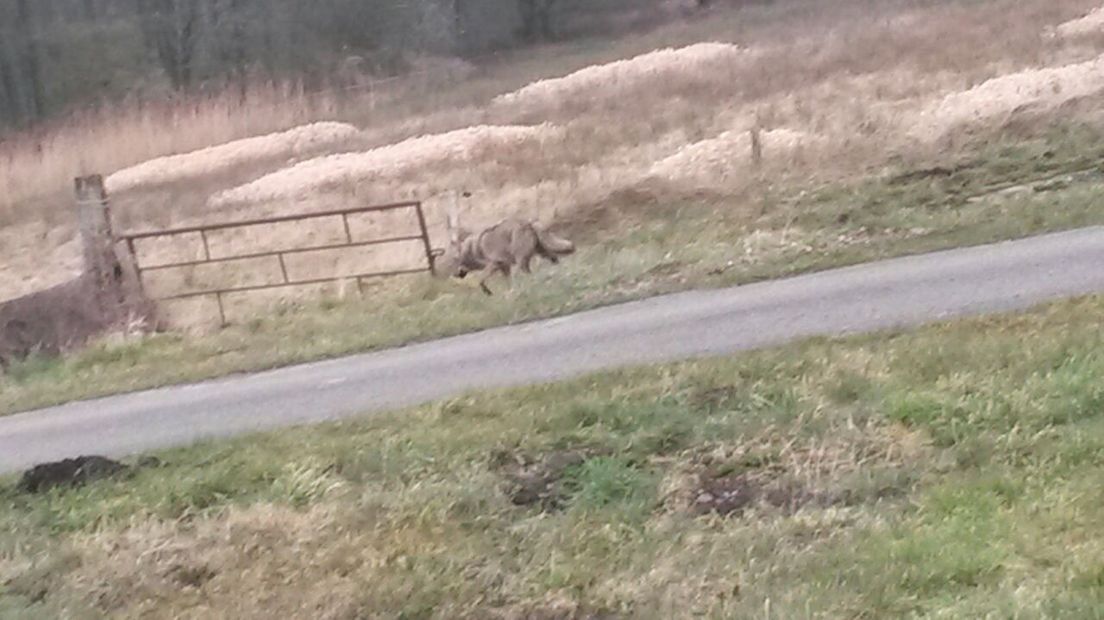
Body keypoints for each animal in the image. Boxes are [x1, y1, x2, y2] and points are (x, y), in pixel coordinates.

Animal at [434, 195, 578, 297]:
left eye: (455, 261)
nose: (454, 274)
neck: (474, 248)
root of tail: (528, 222)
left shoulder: (495, 264)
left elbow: (480, 280)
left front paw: (489, 293)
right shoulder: (504, 267)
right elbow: (505, 283)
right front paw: (509, 293)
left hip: (521, 260)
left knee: (524, 273)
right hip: (543, 253)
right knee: (554, 260)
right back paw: (557, 276)